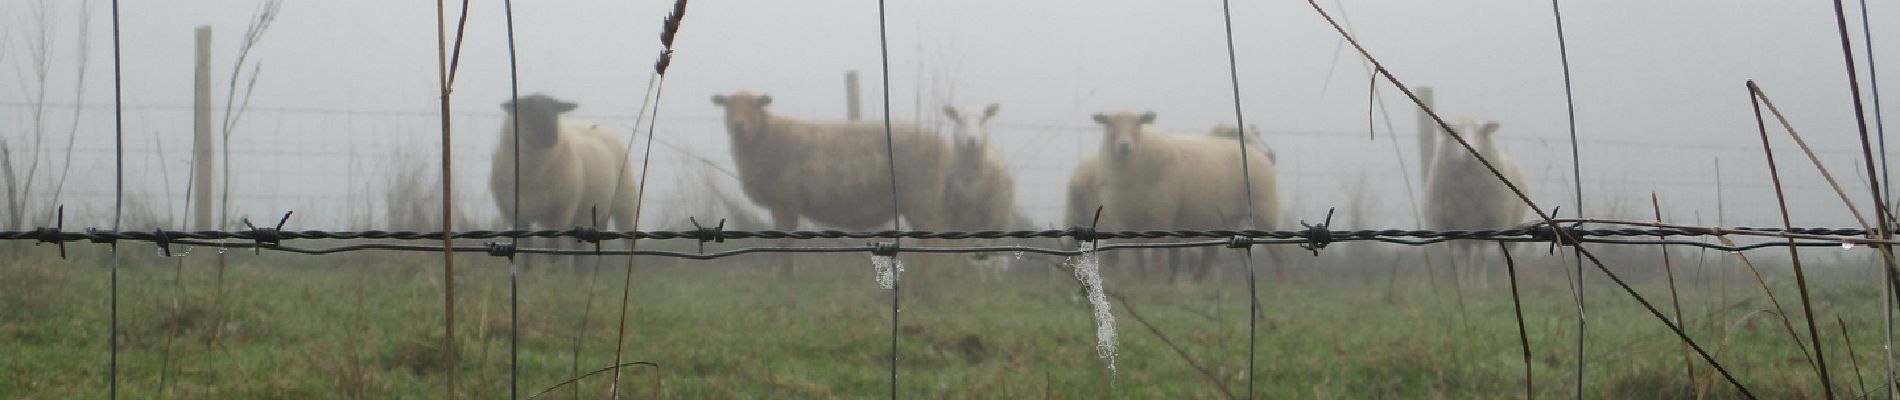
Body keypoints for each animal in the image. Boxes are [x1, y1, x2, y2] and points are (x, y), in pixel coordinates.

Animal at [490, 95, 638, 265]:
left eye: (555, 112)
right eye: (526, 110)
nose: (551, 136)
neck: (533, 175)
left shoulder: (559, 212)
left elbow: (553, 249)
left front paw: (553, 269)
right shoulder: (516, 215)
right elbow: (525, 249)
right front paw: (526, 269)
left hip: (625, 204)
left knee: (627, 237)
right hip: (592, 211)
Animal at [714, 92, 950, 276]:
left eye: (755, 106)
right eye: (728, 106)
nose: (738, 126)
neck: (764, 137)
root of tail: (942, 142)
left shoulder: (787, 201)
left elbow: (784, 241)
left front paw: (784, 276)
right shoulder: (782, 204)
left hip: (922, 198)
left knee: (932, 239)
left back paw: (932, 273)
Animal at [1086, 110, 1276, 282]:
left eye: (1138, 123)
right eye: (1109, 124)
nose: (1124, 145)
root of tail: (1257, 155)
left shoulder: (1161, 216)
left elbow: (1159, 255)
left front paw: (1158, 281)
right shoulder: (1129, 220)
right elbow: (1137, 254)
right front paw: (1143, 279)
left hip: (1265, 210)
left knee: (1277, 253)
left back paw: (1281, 282)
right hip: (1224, 219)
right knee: (1210, 255)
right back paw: (1196, 283)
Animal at [1428, 116, 1527, 290]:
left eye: (1481, 132)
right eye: (1454, 131)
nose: (1469, 152)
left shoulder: (1487, 221)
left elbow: (1481, 256)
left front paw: (1481, 286)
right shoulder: (1452, 223)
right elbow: (1460, 257)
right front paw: (1461, 285)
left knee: (1504, 254)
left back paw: (1504, 283)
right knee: (1467, 255)